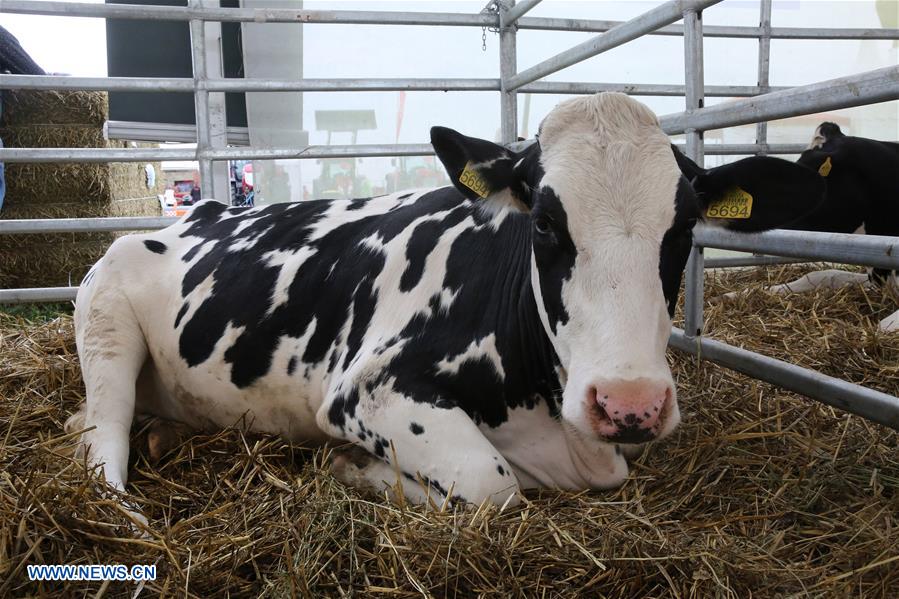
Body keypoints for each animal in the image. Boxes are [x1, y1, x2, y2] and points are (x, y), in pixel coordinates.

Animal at [65, 94, 824, 510]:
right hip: (103, 320)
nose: (629, 404)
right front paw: (358, 468)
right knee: (102, 451)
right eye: (543, 223)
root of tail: (199, 211)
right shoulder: (367, 389)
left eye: (685, 227)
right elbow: (492, 482)